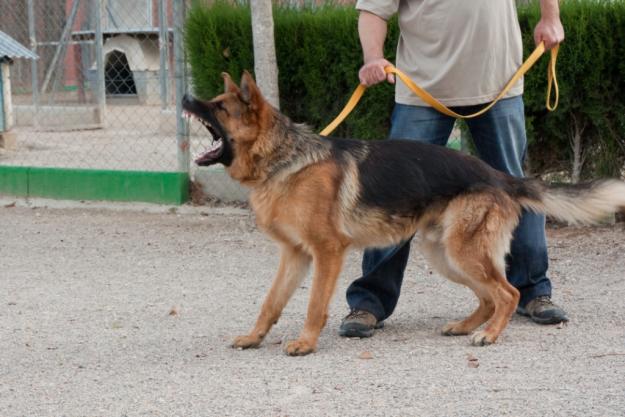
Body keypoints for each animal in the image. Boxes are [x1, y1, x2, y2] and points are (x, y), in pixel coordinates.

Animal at [182, 71, 624, 354]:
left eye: (219, 107)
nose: (185, 97)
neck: (283, 160)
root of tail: (500, 176)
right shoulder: (294, 255)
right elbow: (271, 302)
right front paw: (254, 337)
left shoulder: (326, 252)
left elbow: (314, 305)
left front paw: (306, 343)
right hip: (445, 255)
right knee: (489, 297)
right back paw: (467, 326)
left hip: (461, 252)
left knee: (509, 293)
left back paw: (489, 335)